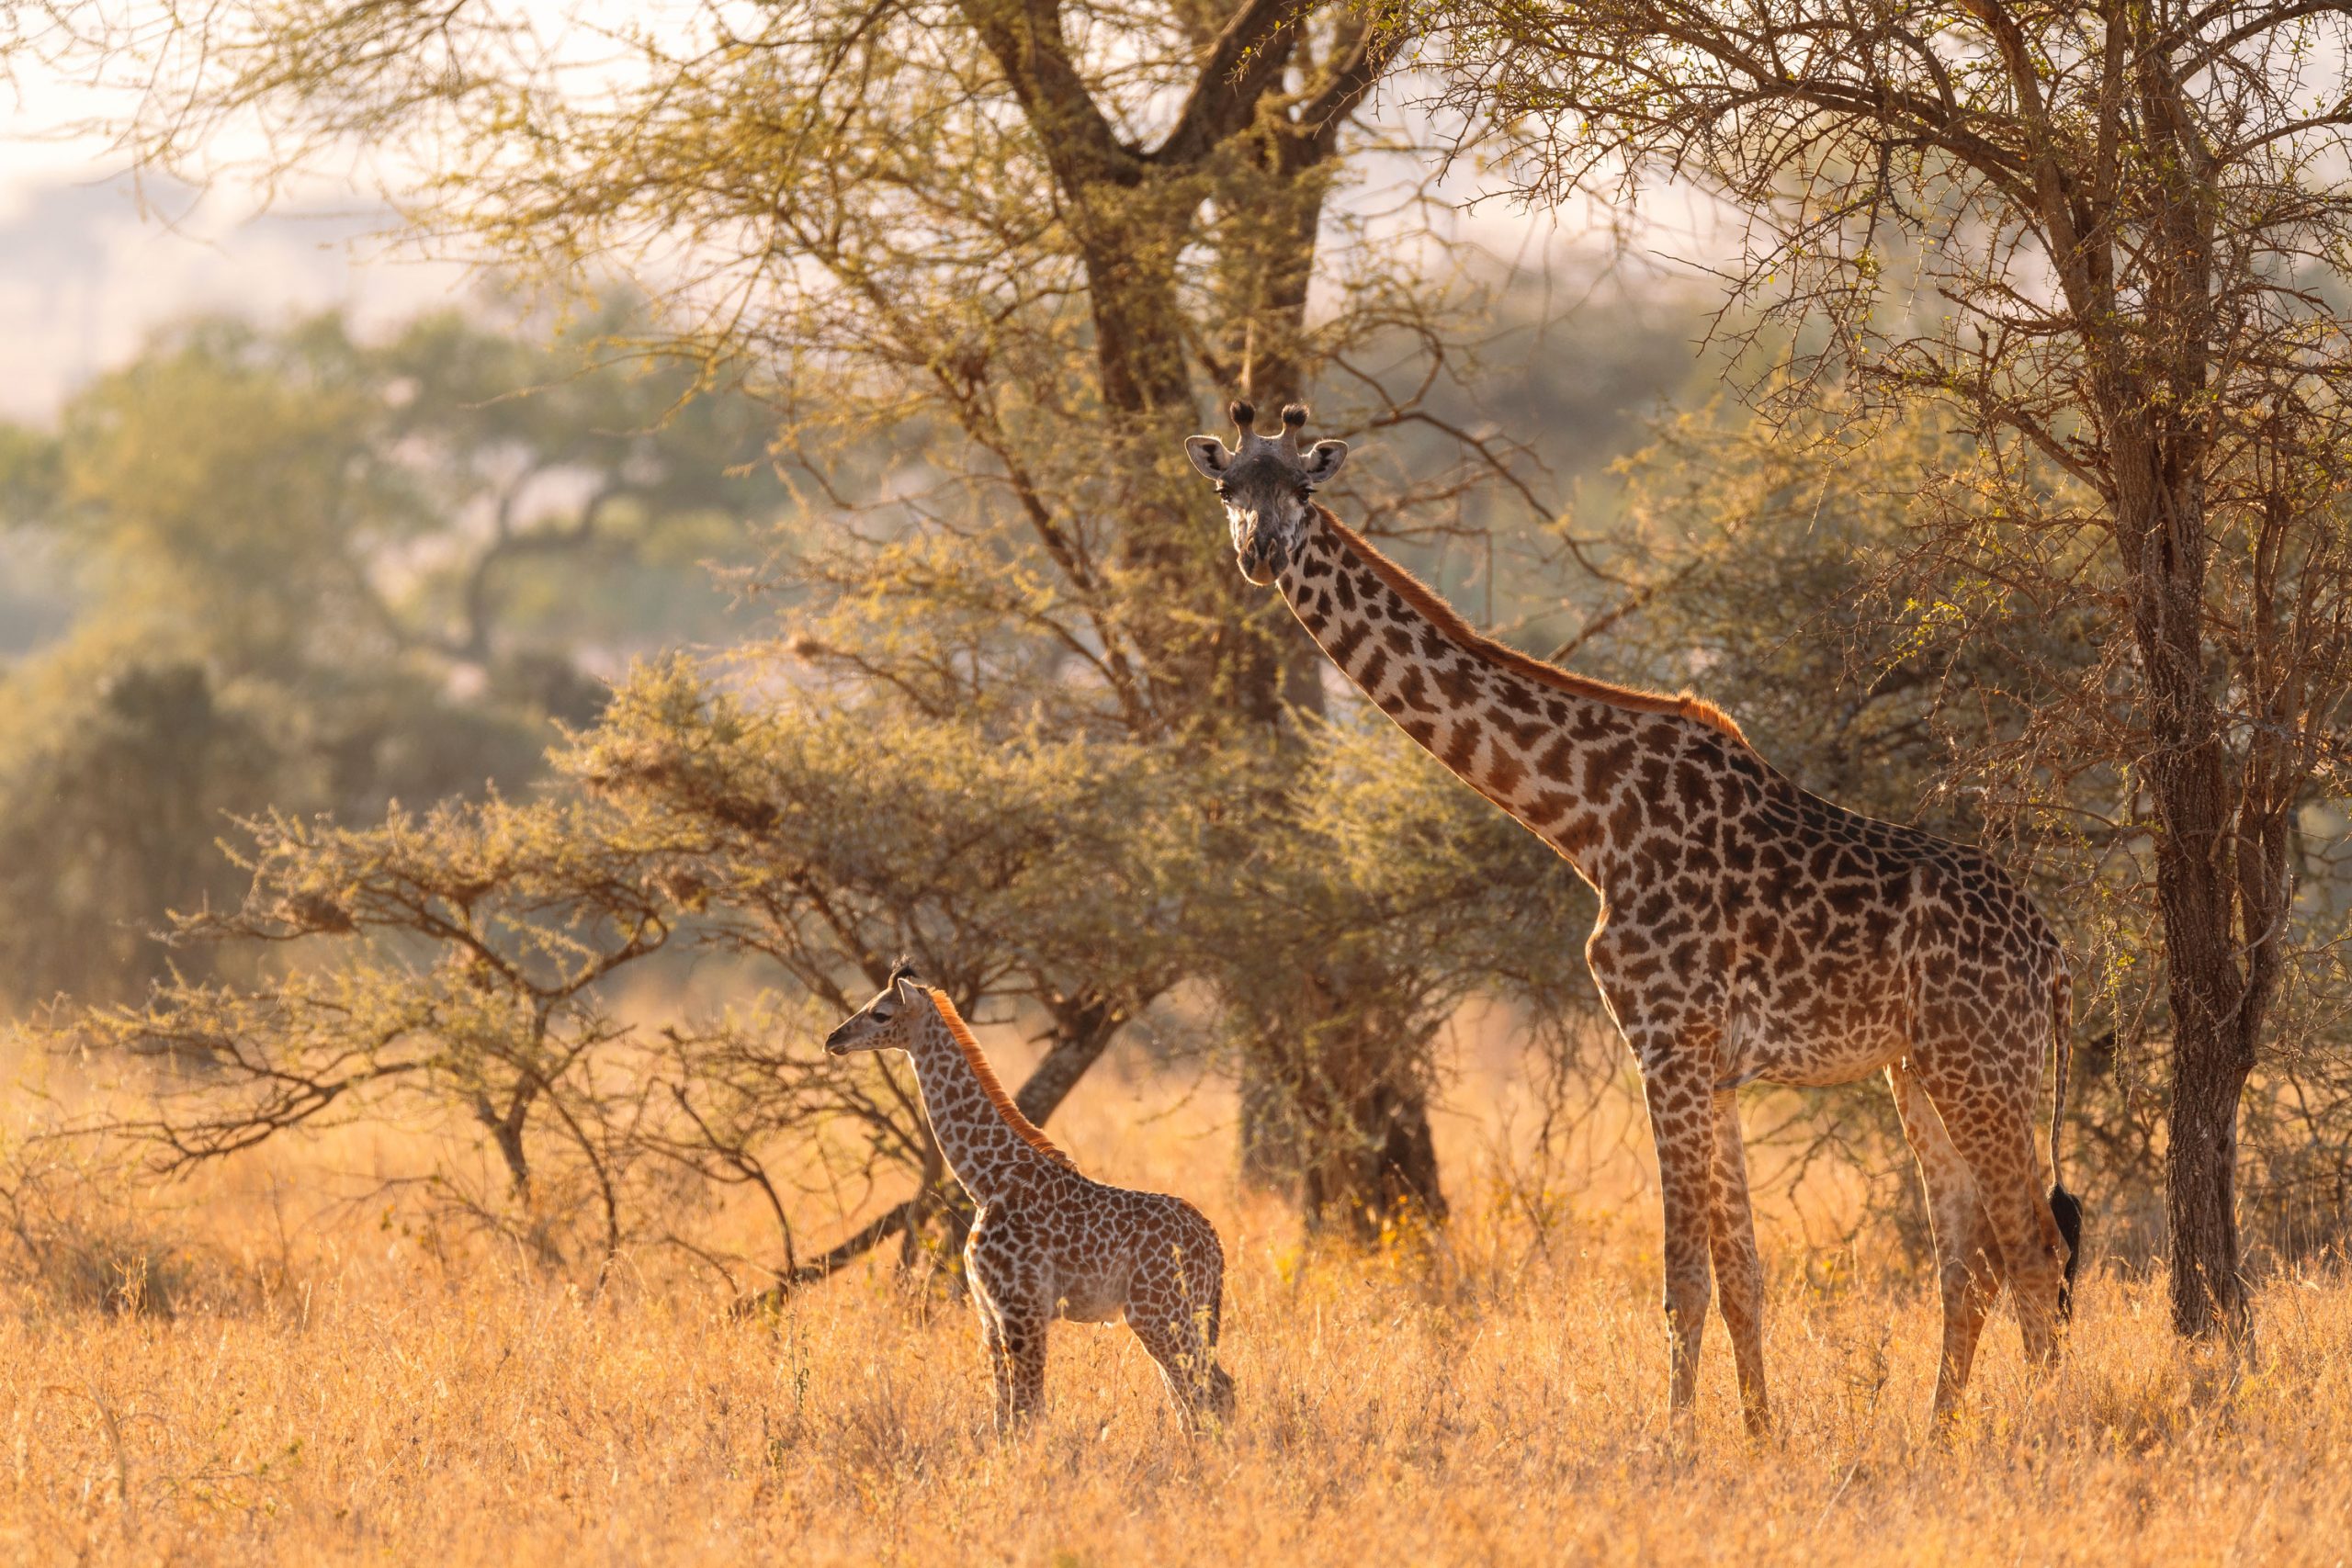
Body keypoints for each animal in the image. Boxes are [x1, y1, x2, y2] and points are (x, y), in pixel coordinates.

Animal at [824, 963, 1236, 1433]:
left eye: (881, 1012)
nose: (833, 1039)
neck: (986, 1179)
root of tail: (1214, 1246)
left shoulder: (1021, 1307)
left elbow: (1026, 1409)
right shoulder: (989, 1311)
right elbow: (1005, 1409)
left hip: (1158, 1312)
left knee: (1207, 1390)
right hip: (1182, 1313)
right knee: (1196, 1394)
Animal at [1183, 400, 2083, 1431]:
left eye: (1303, 487)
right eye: (1227, 488)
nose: (1260, 553)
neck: (1587, 817)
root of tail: (2056, 958)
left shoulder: (1665, 1042)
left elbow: (1682, 1278)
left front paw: (1678, 1441)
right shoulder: (1711, 1065)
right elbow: (1742, 1274)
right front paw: (1760, 1435)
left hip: (1979, 1064)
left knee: (2032, 1245)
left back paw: (2042, 1431)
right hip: (1919, 1071)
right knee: (1969, 1257)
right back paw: (1940, 1435)